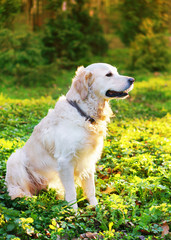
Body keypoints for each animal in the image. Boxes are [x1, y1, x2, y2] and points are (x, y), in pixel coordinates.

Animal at [5, 62, 134, 207]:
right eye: (109, 74)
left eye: (116, 72)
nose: (132, 80)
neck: (84, 114)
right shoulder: (65, 161)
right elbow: (72, 193)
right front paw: (74, 210)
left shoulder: (88, 159)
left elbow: (91, 188)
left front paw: (95, 207)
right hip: (15, 158)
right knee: (18, 191)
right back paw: (30, 200)